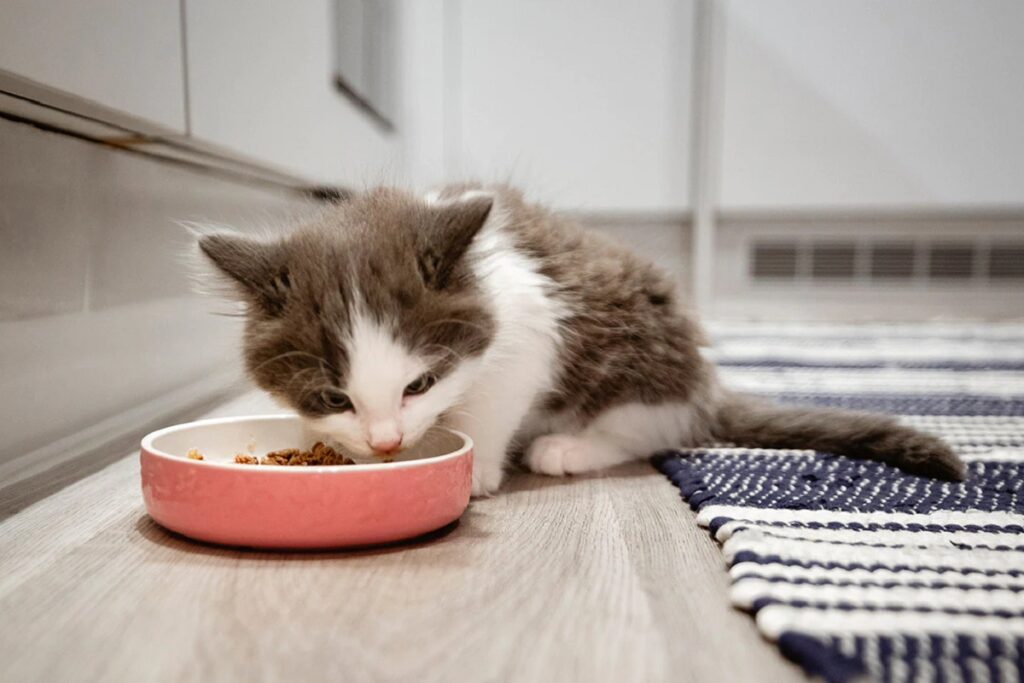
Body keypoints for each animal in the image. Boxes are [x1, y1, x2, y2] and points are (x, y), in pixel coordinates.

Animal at [199, 181, 966, 493]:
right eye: (334, 397)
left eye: (420, 383)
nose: (387, 442)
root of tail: (705, 381)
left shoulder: (529, 330)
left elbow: (494, 402)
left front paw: (477, 469)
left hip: (637, 354)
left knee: (653, 428)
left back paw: (568, 447)